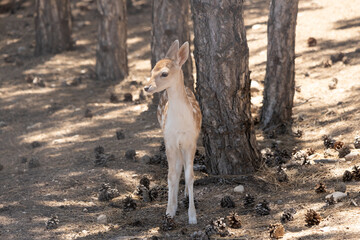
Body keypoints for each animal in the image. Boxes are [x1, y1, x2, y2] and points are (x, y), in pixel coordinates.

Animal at [144, 39, 201, 223]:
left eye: (164, 73)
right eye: (151, 70)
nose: (146, 87)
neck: (180, 123)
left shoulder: (191, 140)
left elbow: (190, 175)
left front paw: (192, 216)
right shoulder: (169, 140)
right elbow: (171, 175)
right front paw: (170, 210)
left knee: (182, 165)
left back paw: (185, 194)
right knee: (177, 167)